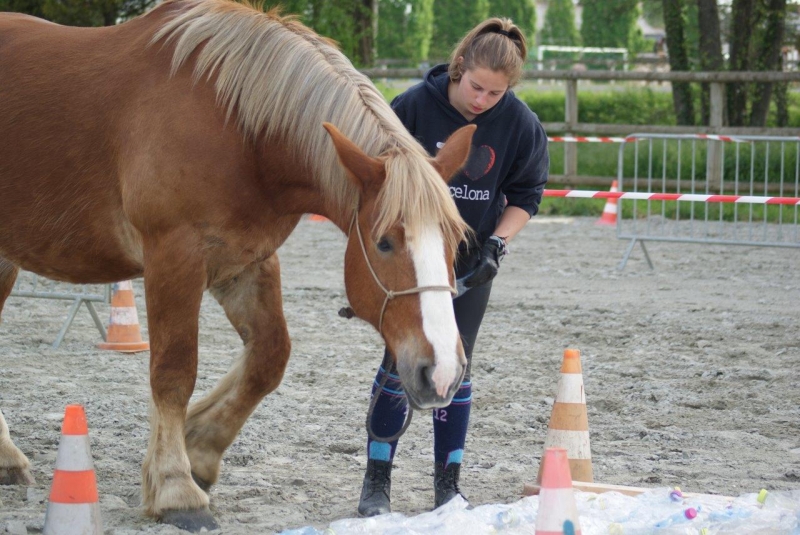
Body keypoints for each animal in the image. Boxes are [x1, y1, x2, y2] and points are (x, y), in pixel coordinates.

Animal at [0, 0, 476, 528]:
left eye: (457, 241)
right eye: (385, 243)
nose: (442, 372)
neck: (238, 128)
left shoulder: (246, 263)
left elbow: (269, 357)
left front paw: (199, 449)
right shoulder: (173, 258)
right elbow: (173, 371)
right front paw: (175, 487)